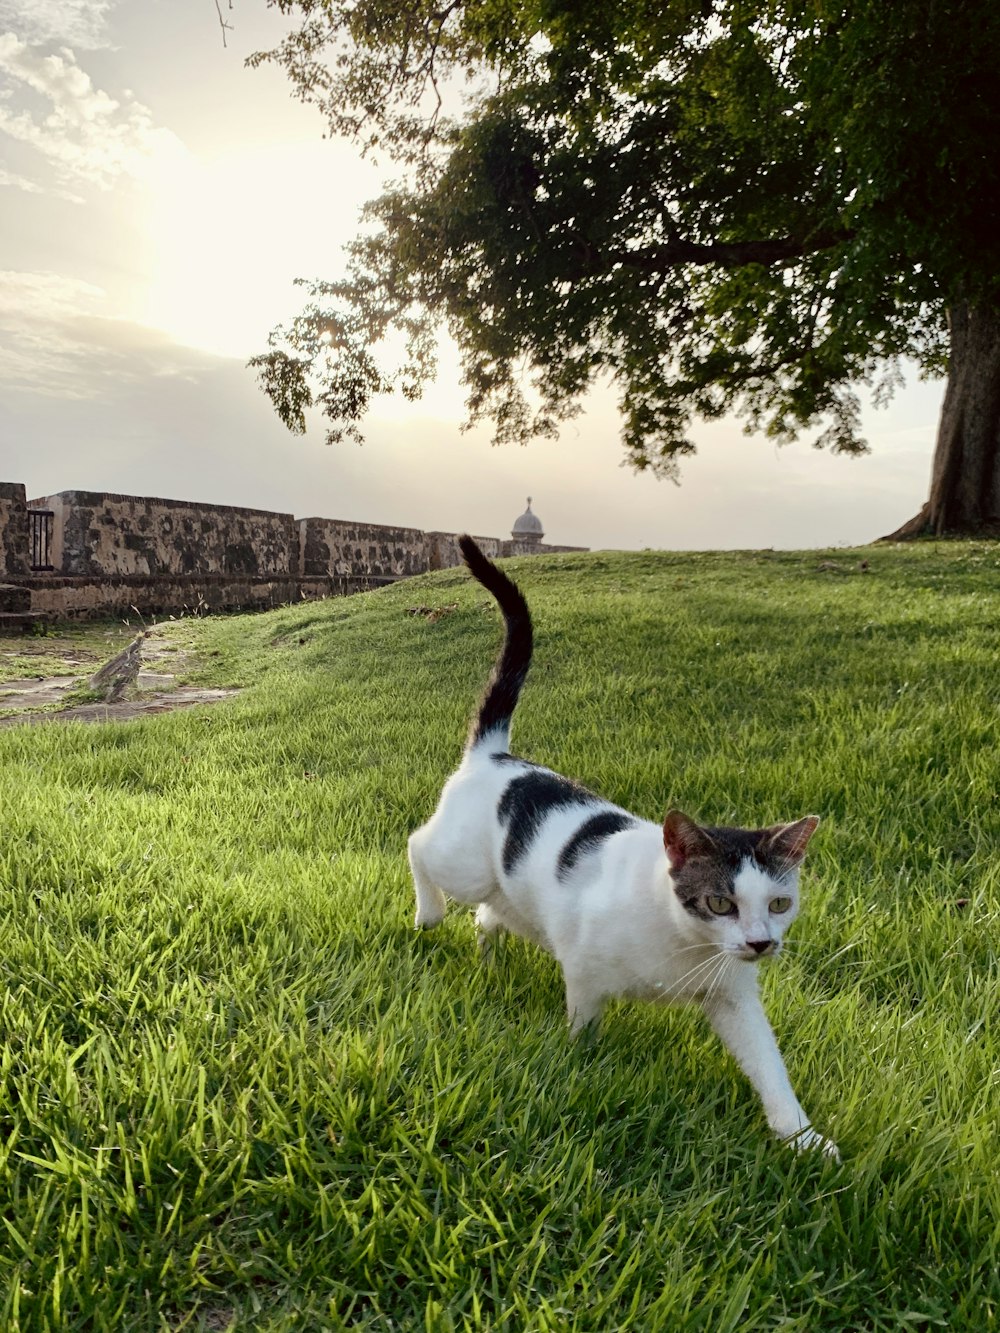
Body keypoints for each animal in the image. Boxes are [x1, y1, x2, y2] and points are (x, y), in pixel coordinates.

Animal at [410, 530, 842, 1157]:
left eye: (780, 904)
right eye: (720, 902)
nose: (762, 942)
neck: (686, 945)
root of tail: (497, 755)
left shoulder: (733, 998)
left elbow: (770, 1067)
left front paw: (803, 1138)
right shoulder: (585, 973)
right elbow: (583, 1027)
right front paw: (582, 1068)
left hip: (511, 897)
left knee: (488, 916)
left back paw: (486, 956)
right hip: (462, 864)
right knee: (418, 847)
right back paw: (428, 913)